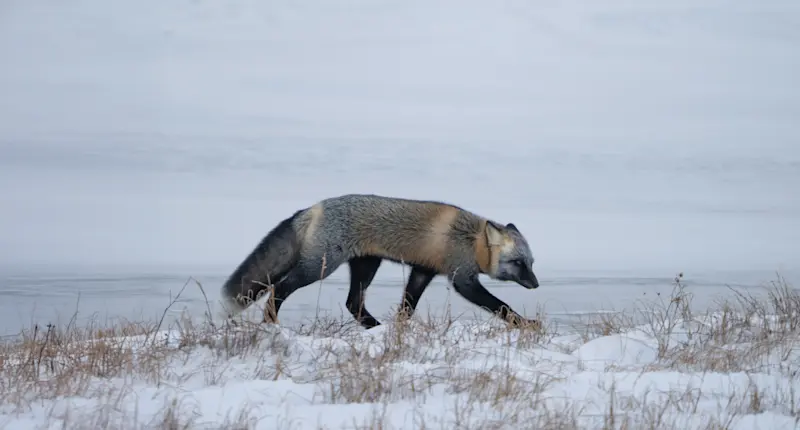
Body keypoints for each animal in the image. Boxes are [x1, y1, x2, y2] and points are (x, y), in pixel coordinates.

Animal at [218, 194, 541, 329]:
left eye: (531, 263)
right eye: (519, 263)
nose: (536, 285)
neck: (471, 241)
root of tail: (311, 208)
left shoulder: (423, 271)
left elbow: (407, 307)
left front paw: (398, 331)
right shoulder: (462, 279)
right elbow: (500, 305)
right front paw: (525, 324)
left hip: (366, 267)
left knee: (352, 303)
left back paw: (374, 327)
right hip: (318, 268)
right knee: (278, 289)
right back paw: (270, 322)